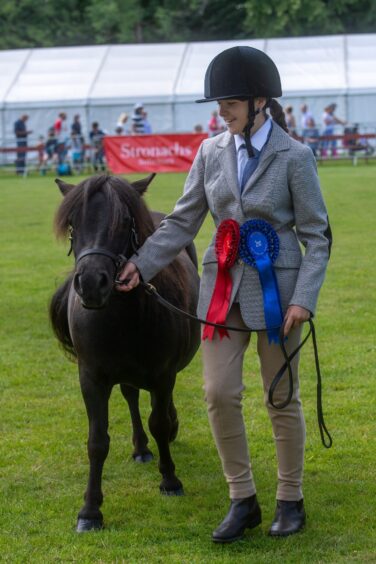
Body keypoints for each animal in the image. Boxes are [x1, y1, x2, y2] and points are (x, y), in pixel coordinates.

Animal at [52, 174, 203, 532]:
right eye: (73, 224)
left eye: (124, 221)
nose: (91, 283)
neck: (122, 315)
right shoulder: (92, 378)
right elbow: (97, 440)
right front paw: (90, 510)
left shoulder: (162, 374)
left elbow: (159, 422)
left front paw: (170, 480)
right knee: (132, 397)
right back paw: (140, 448)